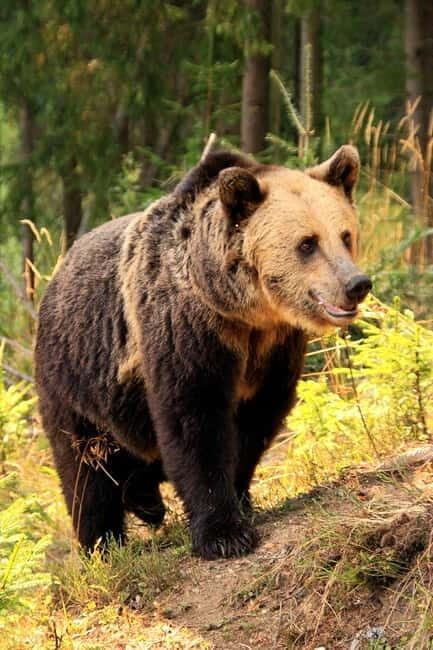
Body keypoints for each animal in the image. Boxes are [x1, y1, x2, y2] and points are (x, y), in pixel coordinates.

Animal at [34, 145, 371, 560]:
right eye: (307, 243)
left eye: (345, 235)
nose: (355, 283)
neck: (245, 310)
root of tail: (56, 276)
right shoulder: (186, 330)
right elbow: (194, 420)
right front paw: (223, 533)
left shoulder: (275, 349)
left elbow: (257, 422)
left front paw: (242, 499)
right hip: (77, 382)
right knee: (86, 470)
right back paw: (102, 544)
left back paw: (144, 501)